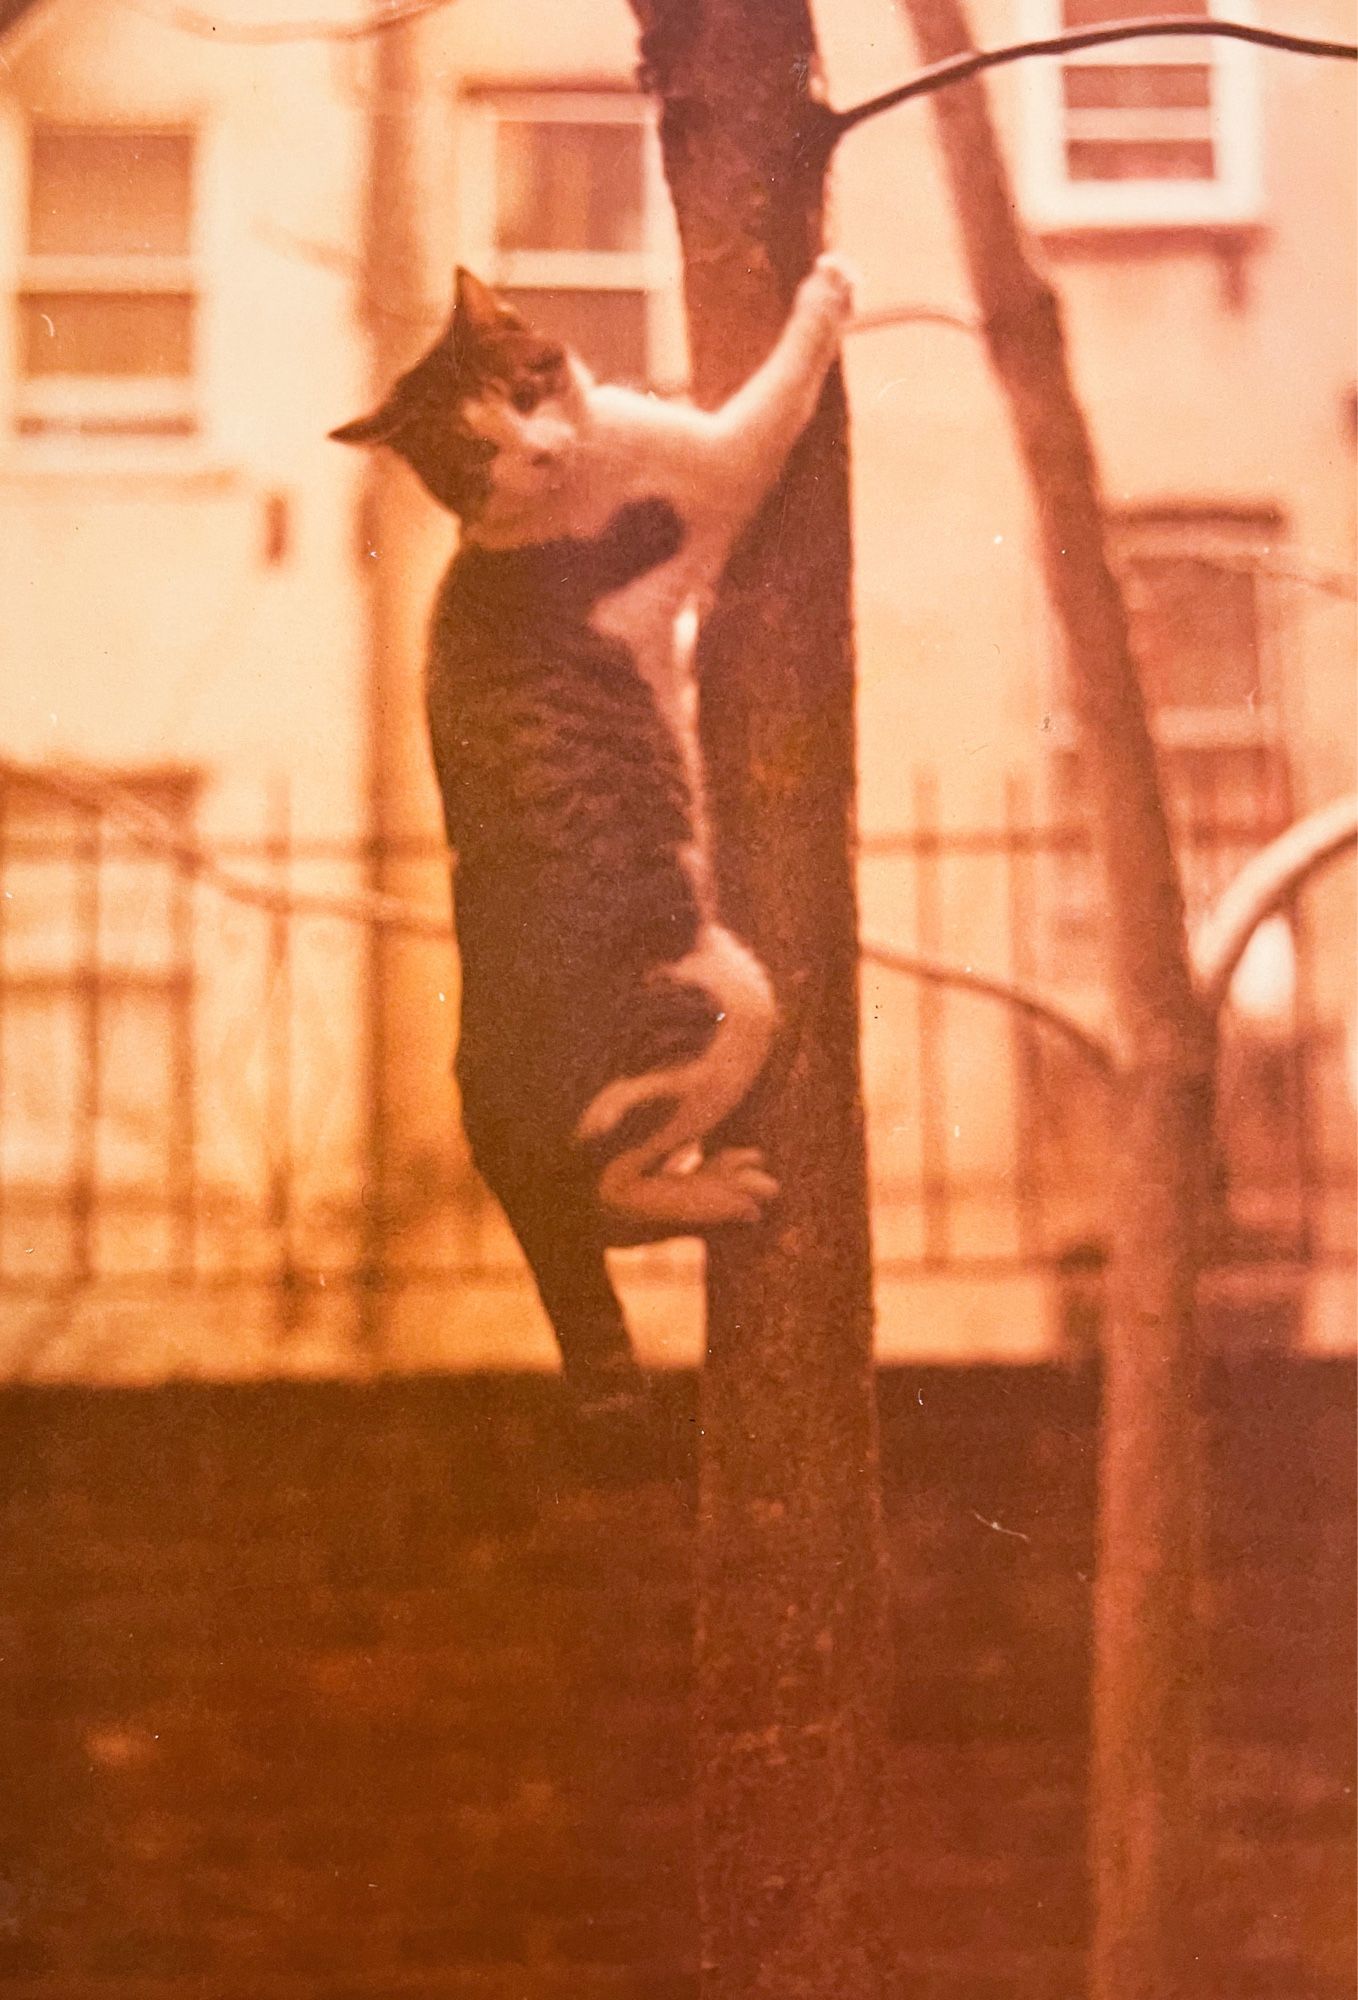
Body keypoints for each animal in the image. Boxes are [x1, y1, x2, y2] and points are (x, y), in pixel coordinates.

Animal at [332, 258, 848, 1408]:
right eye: (476, 449)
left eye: (525, 390)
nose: (536, 449)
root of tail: (488, 1137)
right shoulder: (710, 470)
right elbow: (773, 395)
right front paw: (827, 296)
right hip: (722, 1002)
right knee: (607, 1197)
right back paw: (719, 1189)